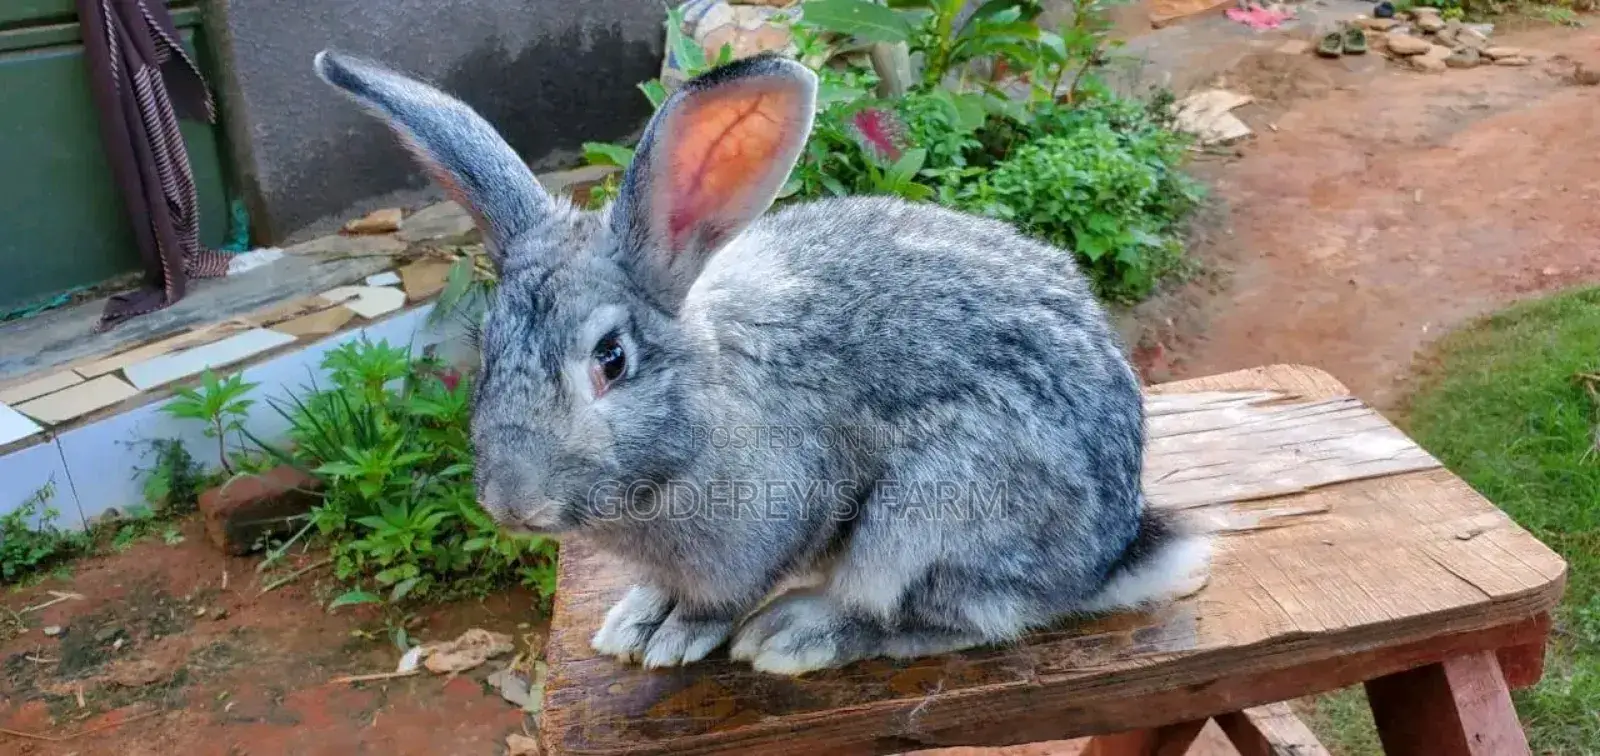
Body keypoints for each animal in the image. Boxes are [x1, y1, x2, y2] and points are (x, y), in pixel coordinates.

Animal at [312, 48, 1211, 676]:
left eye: (611, 359)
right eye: (489, 348)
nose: (511, 504)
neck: (699, 406)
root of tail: (1109, 553)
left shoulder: (777, 514)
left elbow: (722, 598)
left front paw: (676, 640)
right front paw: (631, 624)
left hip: (935, 509)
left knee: (949, 615)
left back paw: (797, 636)